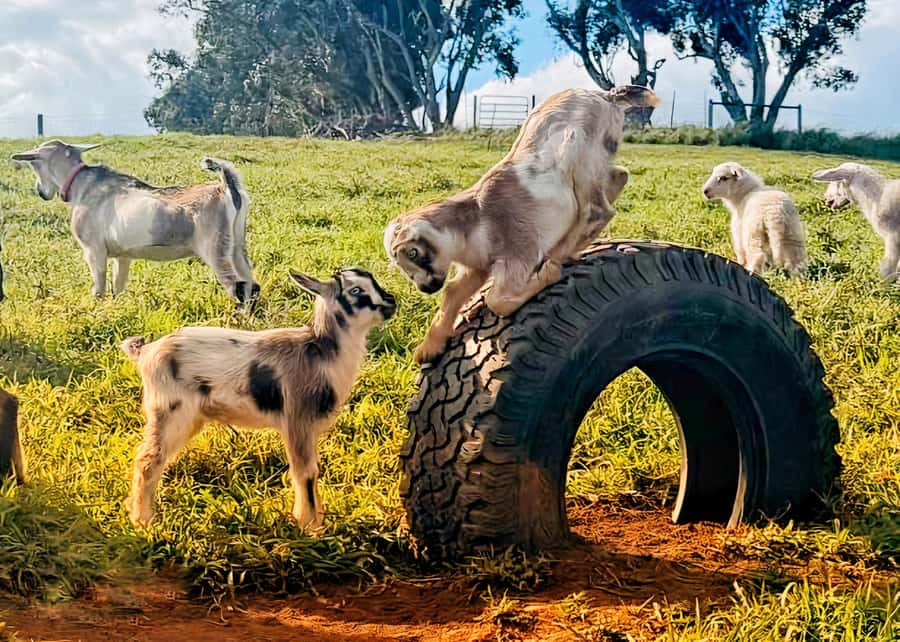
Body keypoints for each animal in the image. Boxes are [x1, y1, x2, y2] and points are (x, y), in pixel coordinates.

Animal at [11, 140, 259, 303]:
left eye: (33, 163)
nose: (41, 191)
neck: (83, 185)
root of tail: (226, 188)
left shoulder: (93, 249)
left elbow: (99, 288)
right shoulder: (122, 255)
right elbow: (118, 286)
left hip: (214, 247)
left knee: (236, 286)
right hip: (236, 245)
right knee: (251, 284)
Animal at [120, 268, 396, 530]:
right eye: (356, 290)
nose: (391, 302)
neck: (320, 352)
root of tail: (145, 351)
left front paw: (315, 519)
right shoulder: (298, 420)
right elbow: (305, 472)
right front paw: (310, 526)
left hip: (188, 419)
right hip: (169, 412)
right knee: (147, 460)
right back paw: (143, 521)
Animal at [384, 86, 658, 364]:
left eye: (413, 253)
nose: (425, 287)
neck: (476, 220)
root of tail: (606, 94)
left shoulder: (518, 250)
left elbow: (496, 300)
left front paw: (548, 273)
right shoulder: (478, 267)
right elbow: (453, 291)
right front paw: (428, 348)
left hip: (581, 149)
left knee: (597, 209)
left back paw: (560, 254)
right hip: (599, 160)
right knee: (619, 175)